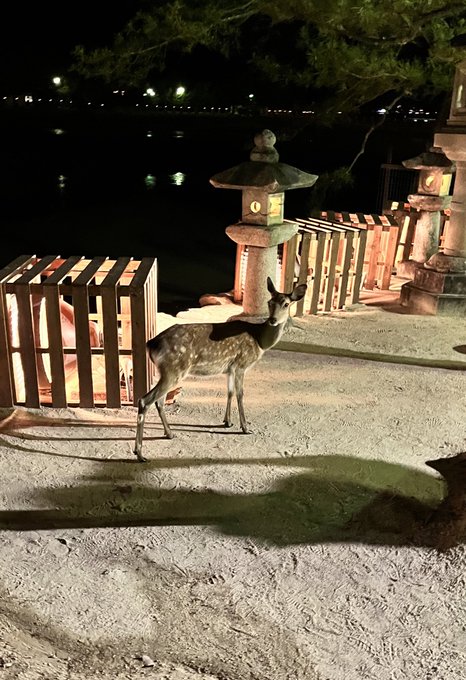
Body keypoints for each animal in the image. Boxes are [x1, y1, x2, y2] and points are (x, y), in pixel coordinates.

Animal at [133, 276, 307, 461]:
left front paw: (227, 422)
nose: (272, 320)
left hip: (167, 371)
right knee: (145, 400)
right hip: (174, 370)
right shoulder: (241, 364)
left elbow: (229, 392)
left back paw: (169, 434)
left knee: (158, 401)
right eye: (270, 302)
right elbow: (240, 394)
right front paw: (245, 428)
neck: (260, 340)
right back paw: (140, 453)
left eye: (286, 304)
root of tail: (151, 344)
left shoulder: (230, 368)